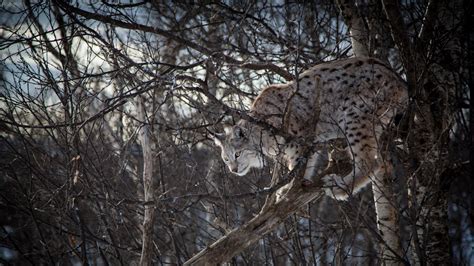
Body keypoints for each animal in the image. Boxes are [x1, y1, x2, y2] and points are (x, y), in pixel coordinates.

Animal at [212, 57, 408, 200]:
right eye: (226, 159)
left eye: (237, 154)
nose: (233, 170)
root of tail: (397, 77)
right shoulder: (310, 141)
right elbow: (306, 165)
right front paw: (294, 185)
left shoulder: (299, 139)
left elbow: (296, 166)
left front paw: (287, 188)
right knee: (380, 159)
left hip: (353, 115)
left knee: (371, 161)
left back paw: (340, 188)